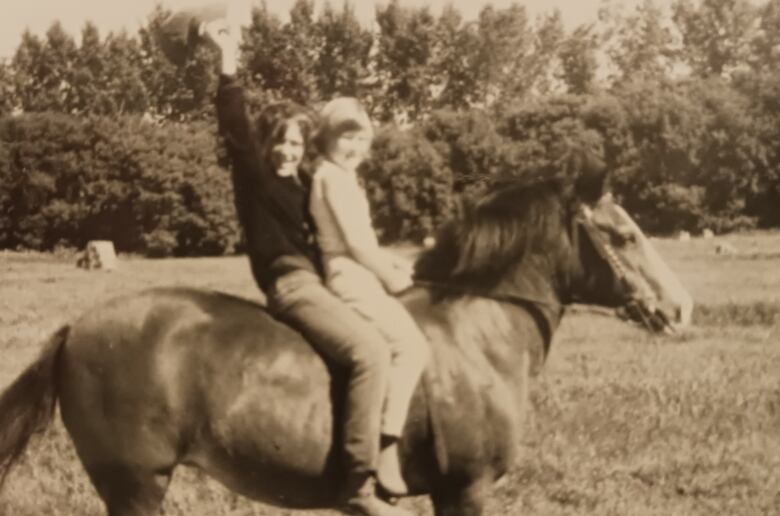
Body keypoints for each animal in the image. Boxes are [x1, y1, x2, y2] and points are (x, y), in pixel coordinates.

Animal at [0, 170, 692, 516]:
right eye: (624, 236)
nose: (678, 307)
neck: (477, 334)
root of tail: (76, 328)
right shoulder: (465, 489)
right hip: (136, 485)